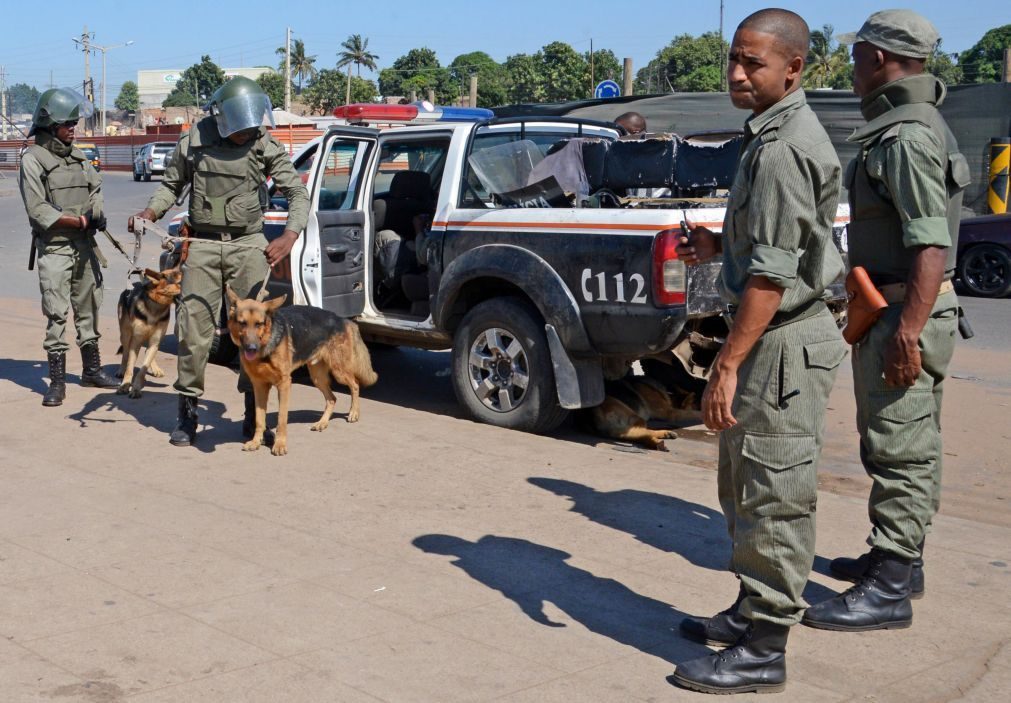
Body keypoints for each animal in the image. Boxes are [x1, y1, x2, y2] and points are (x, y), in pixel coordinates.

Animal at [115, 267, 182, 398]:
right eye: (179, 283)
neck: (156, 307)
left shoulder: (155, 341)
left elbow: (143, 368)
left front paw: (136, 388)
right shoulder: (136, 341)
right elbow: (130, 367)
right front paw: (125, 385)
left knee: (147, 352)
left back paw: (155, 369)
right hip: (125, 334)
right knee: (125, 352)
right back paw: (121, 370)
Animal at [225, 285, 380, 457]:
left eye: (259, 324)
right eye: (242, 323)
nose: (251, 348)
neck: (266, 346)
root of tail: (342, 320)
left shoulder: (284, 384)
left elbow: (282, 418)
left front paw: (280, 445)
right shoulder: (259, 387)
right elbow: (259, 418)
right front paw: (256, 442)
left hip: (339, 371)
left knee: (355, 384)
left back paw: (353, 412)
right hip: (317, 377)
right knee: (332, 398)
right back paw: (322, 423)